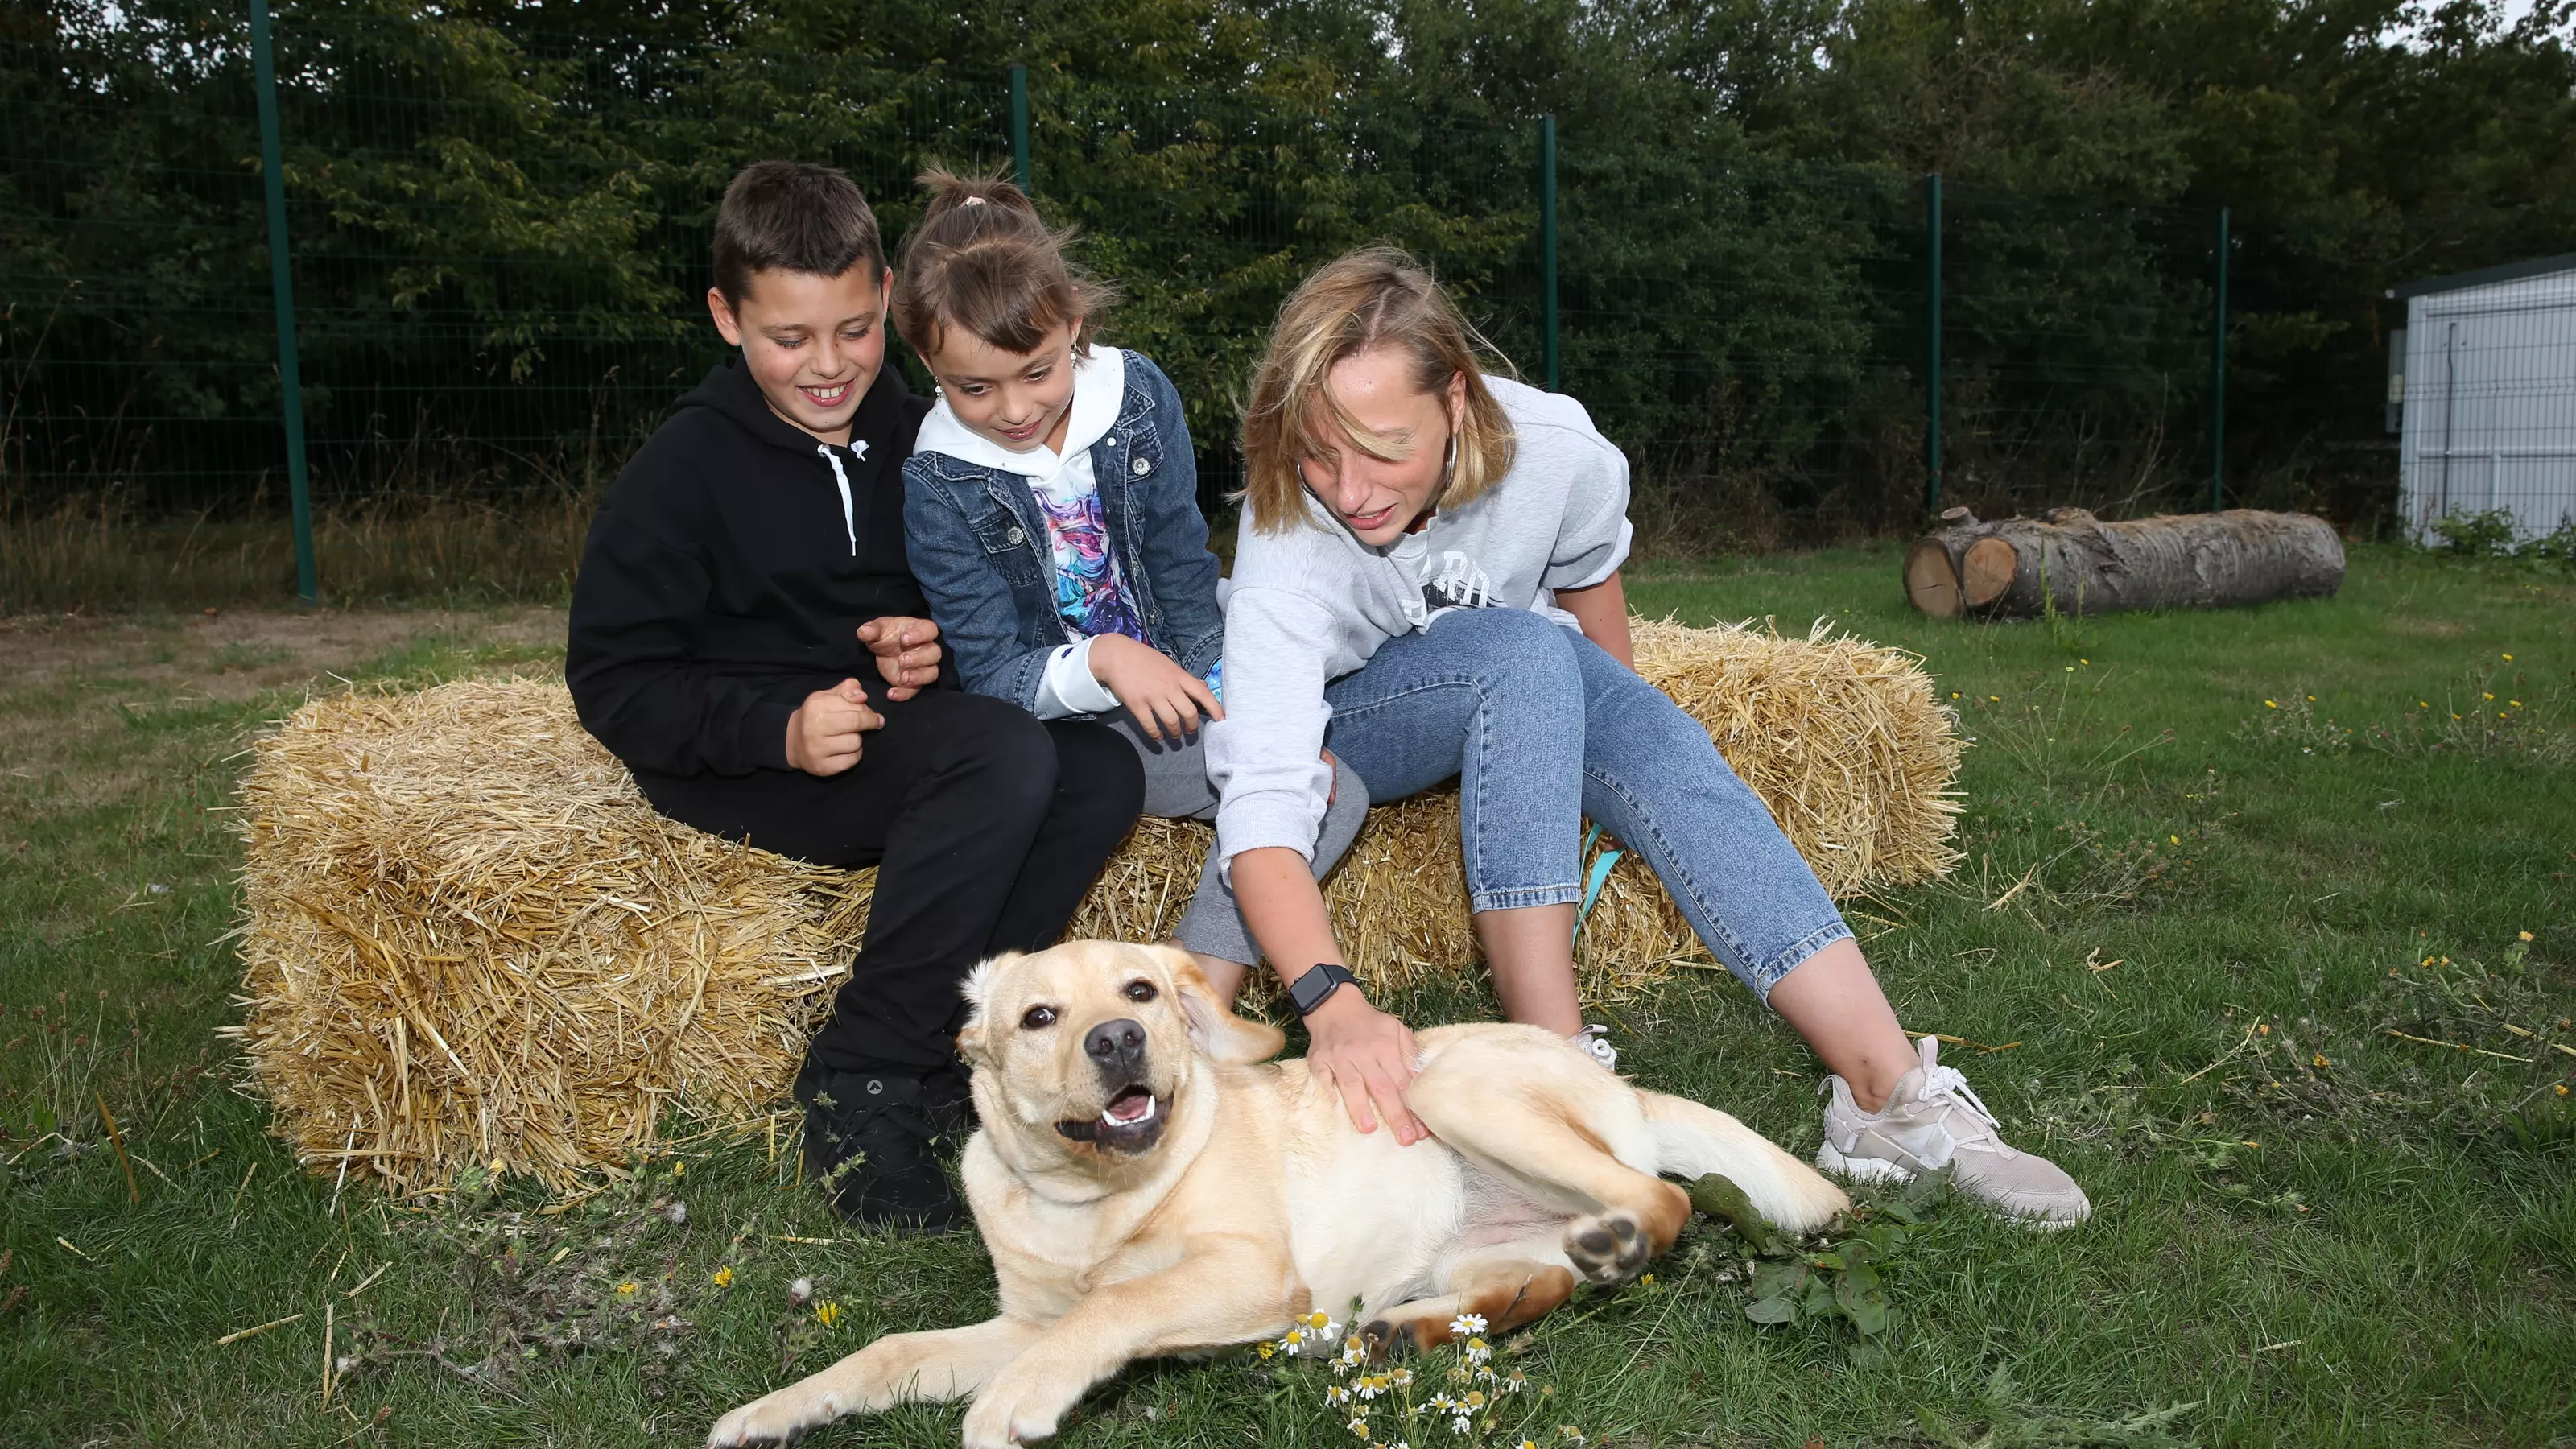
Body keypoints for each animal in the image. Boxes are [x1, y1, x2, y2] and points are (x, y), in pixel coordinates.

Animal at [705, 943, 1844, 1433]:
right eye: (1038, 1017)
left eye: (1140, 992)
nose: (1117, 1041)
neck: (1088, 1202)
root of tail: (1615, 1080)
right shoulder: (1023, 1321)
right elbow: (886, 1352)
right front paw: (768, 1415)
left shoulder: (1251, 1280)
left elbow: (1113, 1307)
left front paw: (1013, 1406)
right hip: (1480, 1240)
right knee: (1534, 1287)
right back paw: (1406, 1331)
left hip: (1447, 1087)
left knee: (1665, 1205)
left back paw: (1613, 1240)